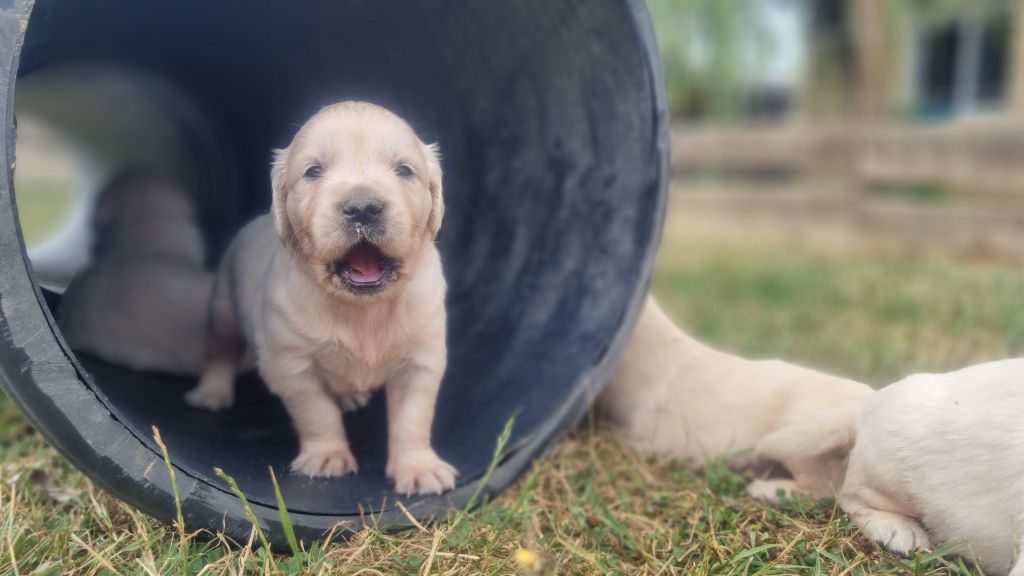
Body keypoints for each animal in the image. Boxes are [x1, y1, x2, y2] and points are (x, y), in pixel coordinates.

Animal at [185, 99, 456, 494]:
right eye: (313, 171)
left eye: (404, 170)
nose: (362, 207)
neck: (363, 309)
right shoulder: (292, 365)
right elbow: (317, 413)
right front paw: (327, 457)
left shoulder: (421, 360)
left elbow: (413, 418)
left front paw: (419, 468)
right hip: (223, 309)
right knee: (220, 351)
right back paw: (211, 394)